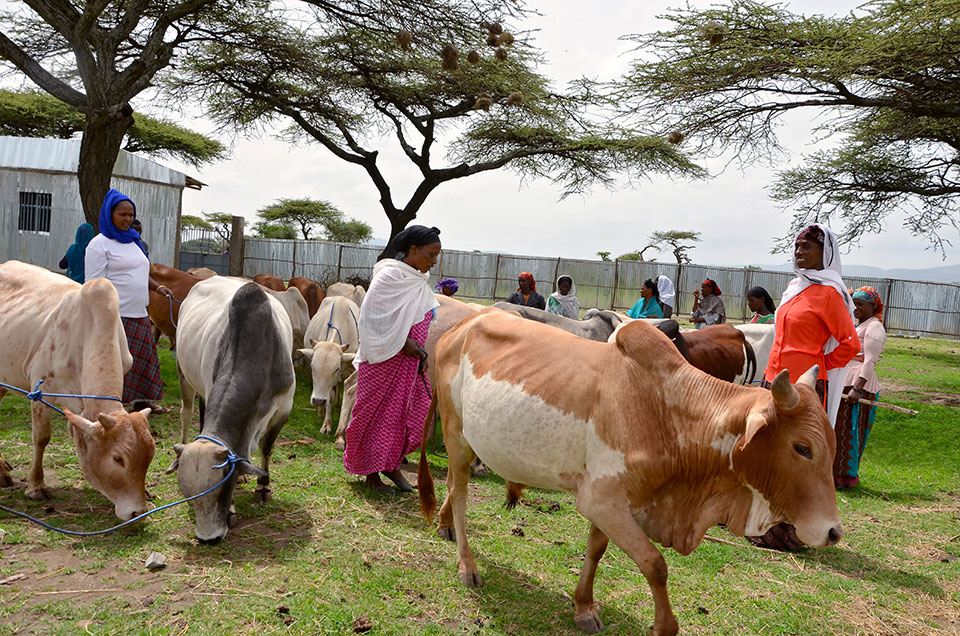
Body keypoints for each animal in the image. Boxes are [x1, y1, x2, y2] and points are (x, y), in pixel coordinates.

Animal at [0, 261, 155, 520]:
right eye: (118, 458)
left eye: (150, 456)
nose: (138, 512)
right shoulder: (40, 390)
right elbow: (41, 438)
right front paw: (36, 486)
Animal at [169, 277, 295, 543]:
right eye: (188, 495)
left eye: (222, 487)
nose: (208, 539)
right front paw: (232, 510)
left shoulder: (284, 407)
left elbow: (266, 447)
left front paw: (263, 485)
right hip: (185, 375)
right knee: (186, 414)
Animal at [419, 311, 842, 635]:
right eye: (802, 448)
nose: (834, 532)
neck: (670, 413)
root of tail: (461, 326)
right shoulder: (602, 501)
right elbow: (655, 564)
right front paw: (664, 626)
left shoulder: (616, 501)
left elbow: (596, 550)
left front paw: (584, 608)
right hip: (456, 435)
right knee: (459, 491)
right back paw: (467, 565)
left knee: (453, 486)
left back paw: (444, 525)